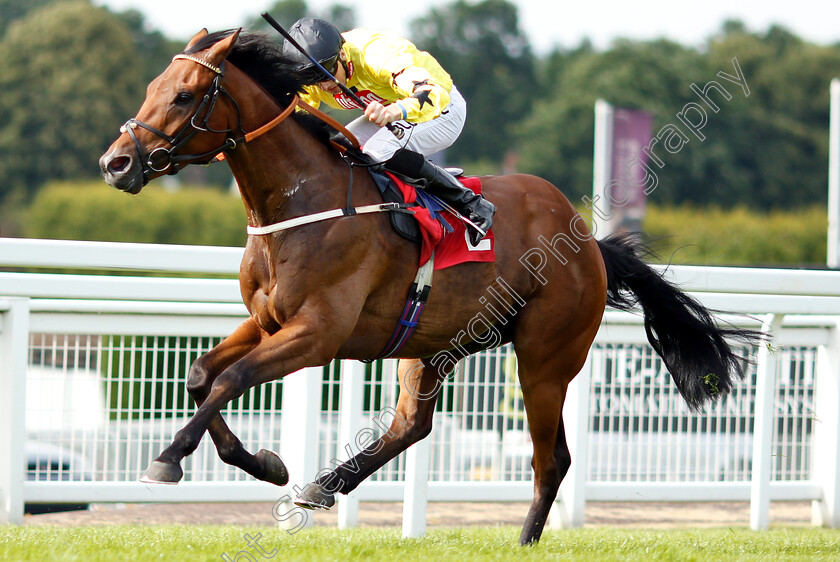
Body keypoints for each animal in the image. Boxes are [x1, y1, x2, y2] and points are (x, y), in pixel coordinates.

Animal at [98, 27, 756, 544]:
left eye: (185, 94)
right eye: (153, 87)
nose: (116, 163)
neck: (300, 202)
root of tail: (588, 242)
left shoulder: (317, 334)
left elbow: (230, 379)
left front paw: (170, 459)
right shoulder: (268, 321)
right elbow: (201, 375)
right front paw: (266, 463)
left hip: (545, 358)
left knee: (552, 459)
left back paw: (523, 540)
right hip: (432, 343)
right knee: (411, 425)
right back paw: (322, 485)